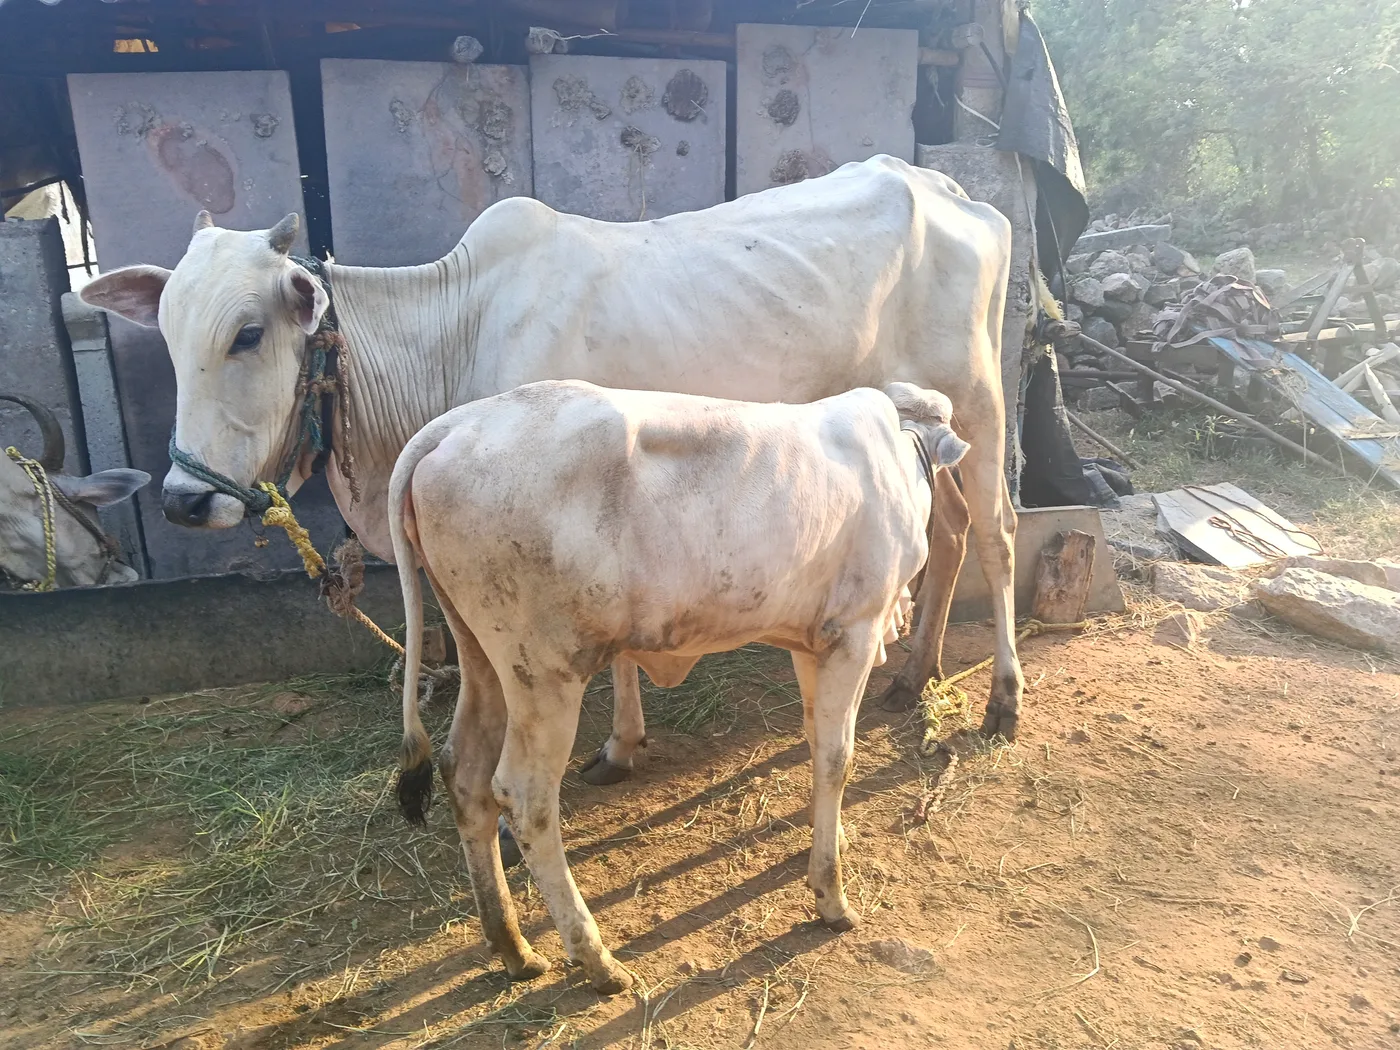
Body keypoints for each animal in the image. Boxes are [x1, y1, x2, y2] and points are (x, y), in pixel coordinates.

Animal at [77, 154, 1025, 773]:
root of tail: (948, 189)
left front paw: (617, 744)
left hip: (980, 400)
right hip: (922, 430)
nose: (183, 500)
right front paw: (626, 741)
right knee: (948, 536)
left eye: (246, 333)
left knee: (998, 535)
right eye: (165, 335)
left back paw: (1002, 700)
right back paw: (914, 675)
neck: (451, 332)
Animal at [390, 379, 970, 993]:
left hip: (483, 658)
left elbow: (817, 744)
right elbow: (838, 757)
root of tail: (453, 426)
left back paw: (514, 948)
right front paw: (831, 896)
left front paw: (829, 839)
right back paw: (596, 959)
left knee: (464, 774)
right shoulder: (854, 633)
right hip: (545, 672)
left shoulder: (811, 642)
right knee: (525, 798)